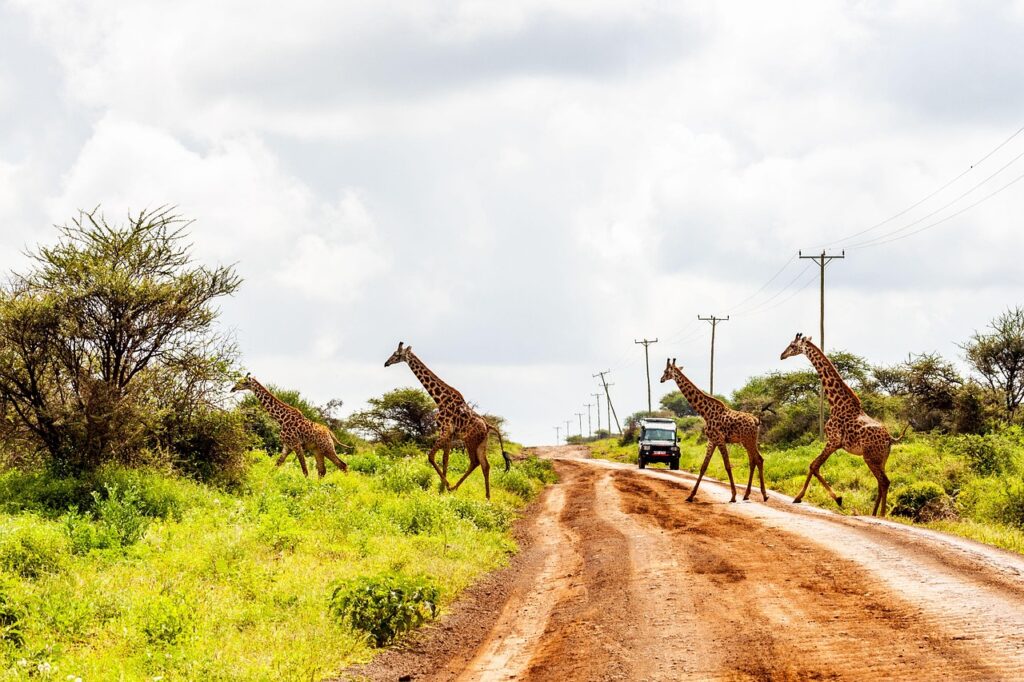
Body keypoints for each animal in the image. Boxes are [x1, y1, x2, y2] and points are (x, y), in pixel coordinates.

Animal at [384, 342, 511, 500]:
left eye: (396, 354)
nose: (386, 363)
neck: (439, 399)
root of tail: (488, 426)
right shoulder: (449, 434)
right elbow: (445, 459)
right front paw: (442, 490)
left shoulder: (444, 430)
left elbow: (431, 456)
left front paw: (446, 486)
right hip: (481, 443)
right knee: (485, 465)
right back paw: (487, 497)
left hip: (470, 441)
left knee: (475, 462)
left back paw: (455, 487)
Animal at [660, 358, 768, 503]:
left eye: (666, 371)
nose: (661, 379)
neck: (705, 412)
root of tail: (756, 421)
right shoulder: (712, 441)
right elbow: (703, 467)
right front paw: (690, 496)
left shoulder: (719, 439)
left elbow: (727, 466)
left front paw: (733, 496)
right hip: (749, 441)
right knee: (754, 460)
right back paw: (747, 494)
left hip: (747, 441)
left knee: (758, 460)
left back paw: (764, 495)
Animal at [780, 333, 908, 517]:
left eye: (792, 345)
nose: (781, 355)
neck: (835, 403)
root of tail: (890, 438)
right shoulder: (836, 444)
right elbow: (814, 465)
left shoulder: (833, 441)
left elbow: (813, 465)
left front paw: (834, 499)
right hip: (881, 459)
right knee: (881, 482)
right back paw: (874, 513)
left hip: (870, 457)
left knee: (884, 481)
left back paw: (881, 515)